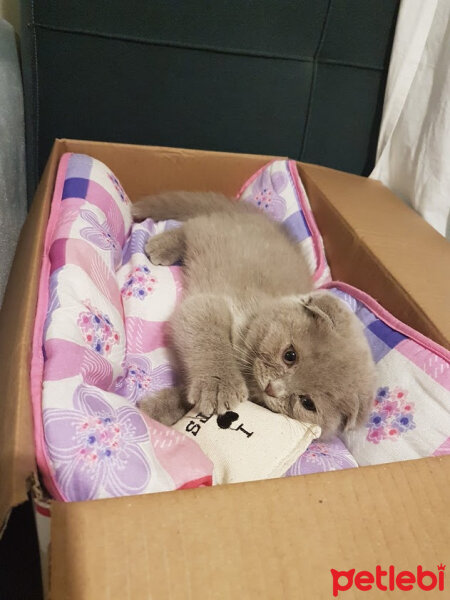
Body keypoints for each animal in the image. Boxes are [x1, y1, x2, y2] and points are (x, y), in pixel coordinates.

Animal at [131, 190, 376, 438]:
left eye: (307, 403)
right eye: (290, 355)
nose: (273, 389)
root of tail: (260, 218)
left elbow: (186, 397)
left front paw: (157, 409)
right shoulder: (209, 305)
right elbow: (210, 338)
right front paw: (220, 386)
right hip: (212, 233)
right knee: (192, 226)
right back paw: (162, 246)